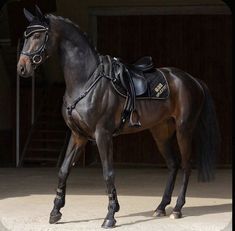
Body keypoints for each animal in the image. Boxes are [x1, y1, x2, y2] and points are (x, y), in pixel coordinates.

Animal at [17, 6, 220, 228]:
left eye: (37, 35)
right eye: (26, 35)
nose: (22, 68)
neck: (85, 79)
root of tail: (192, 80)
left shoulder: (102, 135)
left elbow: (108, 173)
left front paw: (110, 215)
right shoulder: (78, 135)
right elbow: (63, 170)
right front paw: (55, 212)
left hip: (184, 129)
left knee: (186, 165)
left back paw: (177, 209)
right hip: (161, 132)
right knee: (173, 164)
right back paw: (160, 207)